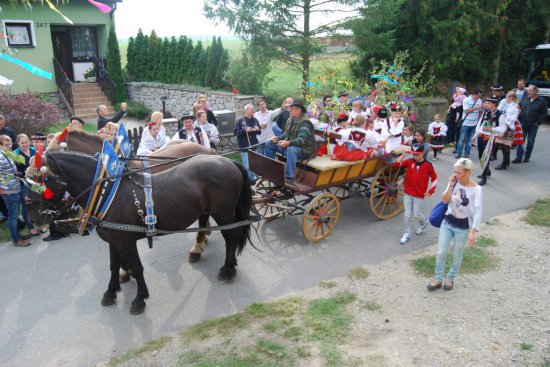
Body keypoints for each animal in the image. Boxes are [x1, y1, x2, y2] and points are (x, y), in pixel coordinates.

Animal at [45, 151, 254, 314]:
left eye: (45, 179)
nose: (44, 217)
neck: (107, 192)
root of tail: (228, 161)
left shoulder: (125, 241)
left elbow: (137, 267)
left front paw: (139, 298)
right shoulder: (114, 240)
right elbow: (113, 266)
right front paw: (110, 292)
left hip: (223, 213)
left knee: (231, 236)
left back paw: (227, 269)